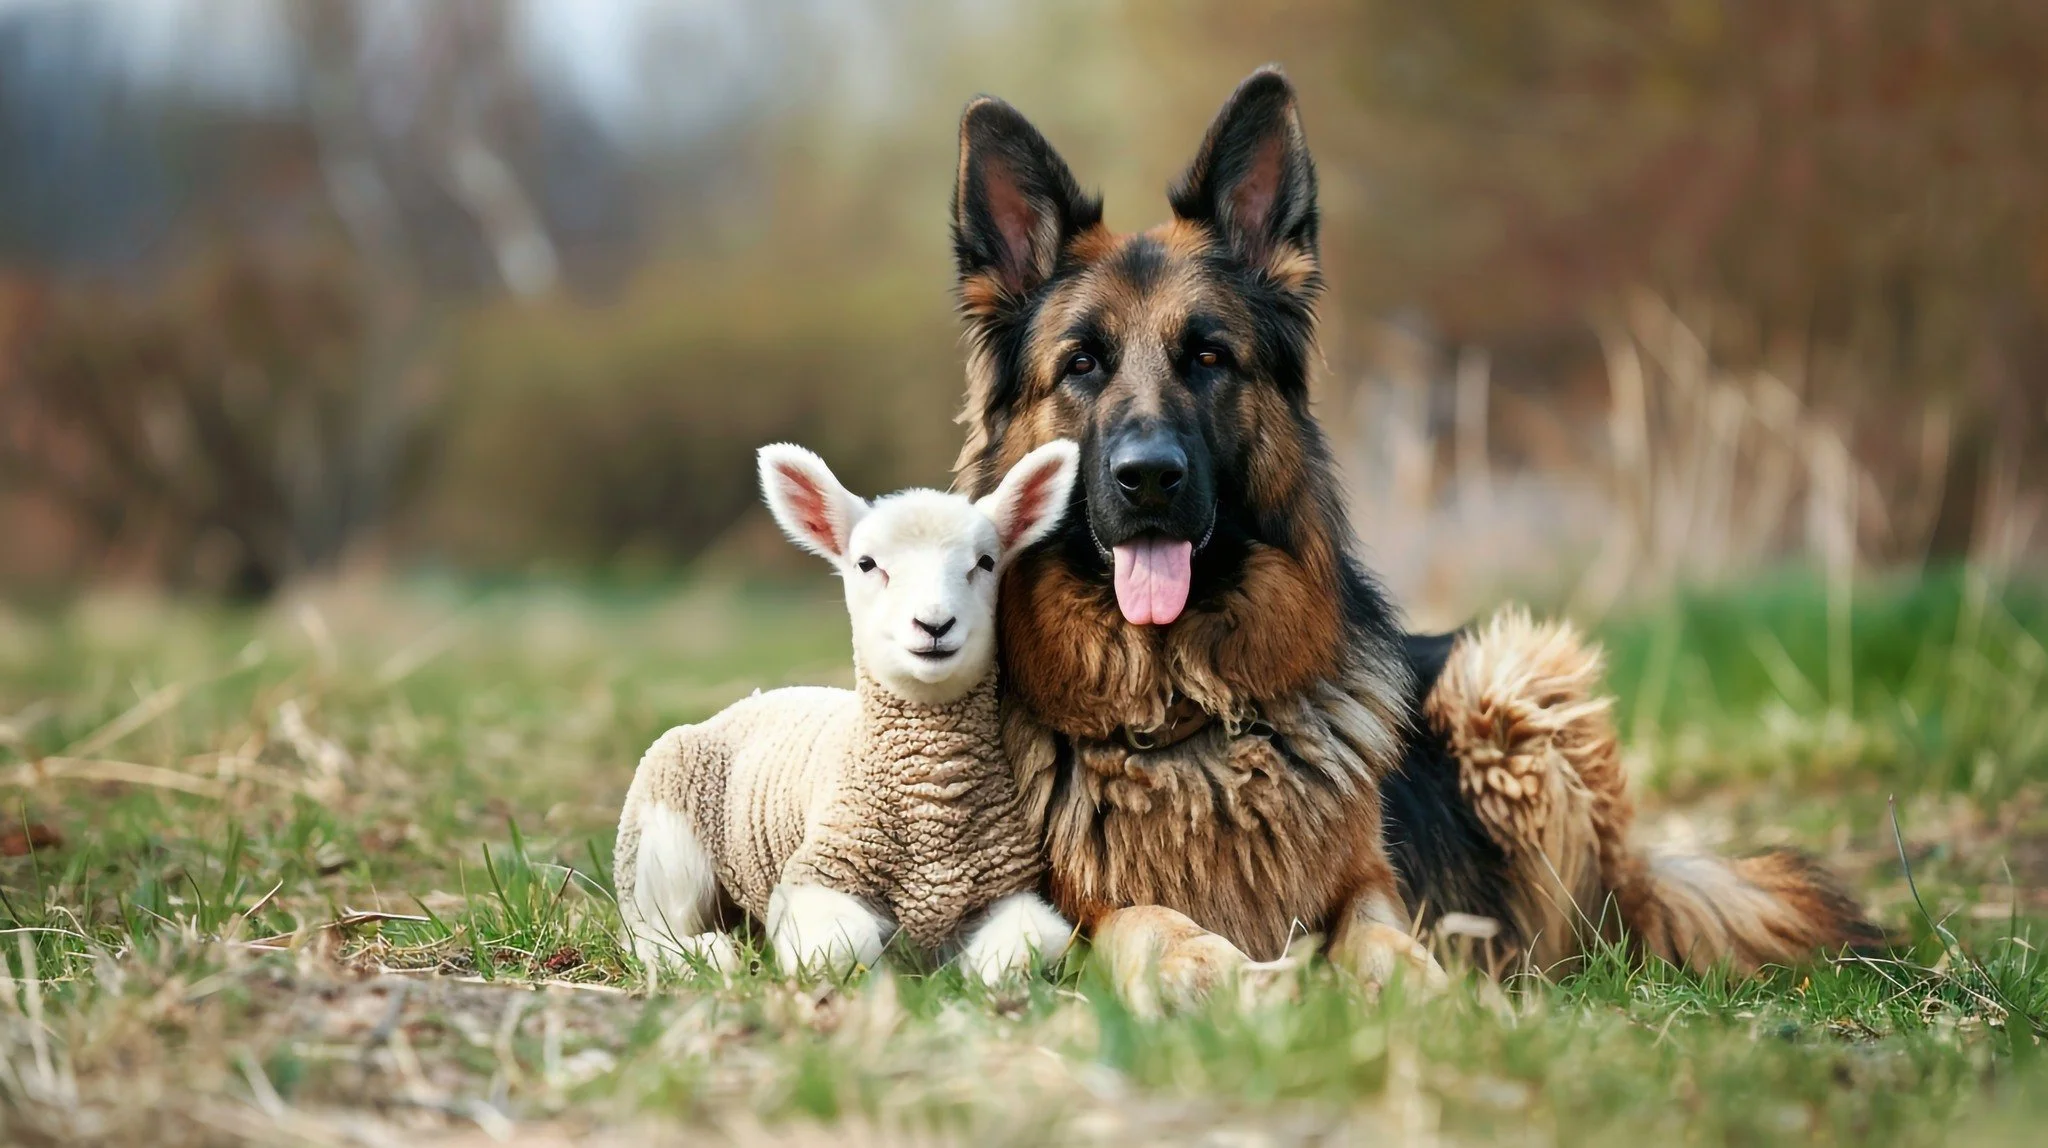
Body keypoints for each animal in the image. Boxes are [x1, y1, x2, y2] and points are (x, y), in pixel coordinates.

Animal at [613, 439, 1080, 984]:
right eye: (866, 564)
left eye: (986, 562)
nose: (934, 624)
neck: (930, 806)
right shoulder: (815, 875)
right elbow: (836, 949)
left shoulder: (1008, 887)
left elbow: (1026, 950)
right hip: (662, 840)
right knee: (649, 932)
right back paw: (712, 955)